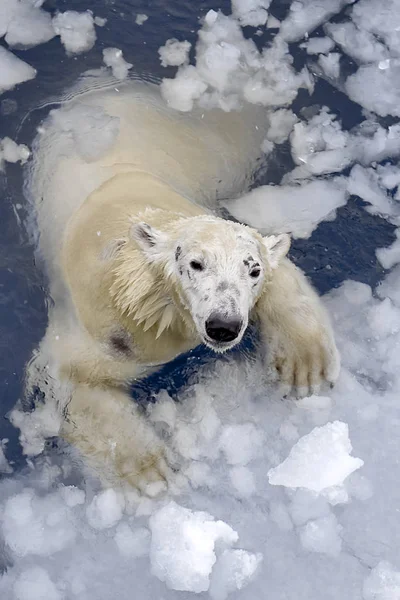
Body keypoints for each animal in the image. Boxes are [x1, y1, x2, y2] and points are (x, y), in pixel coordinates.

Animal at [17, 76, 340, 492]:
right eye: (194, 265)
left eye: (252, 270)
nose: (223, 326)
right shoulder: (100, 326)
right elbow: (71, 382)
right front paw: (151, 473)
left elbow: (280, 272)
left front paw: (306, 369)